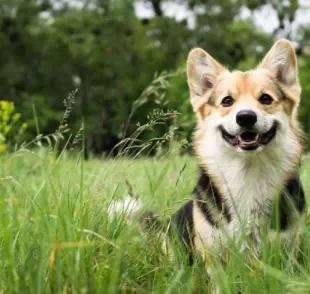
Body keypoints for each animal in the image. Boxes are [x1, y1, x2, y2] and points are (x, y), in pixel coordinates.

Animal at [108, 39, 306, 268]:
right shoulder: (213, 259)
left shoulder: (288, 254)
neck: (248, 170)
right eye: (227, 101)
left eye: (266, 99)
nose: (246, 117)